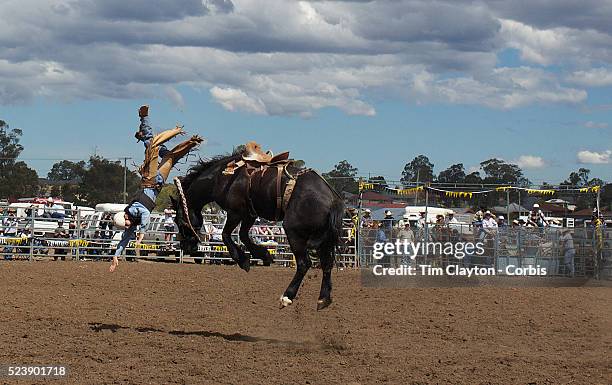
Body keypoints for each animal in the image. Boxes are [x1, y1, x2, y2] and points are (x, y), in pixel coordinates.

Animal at [172, 148, 344, 310]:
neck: (221, 177)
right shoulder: (250, 214)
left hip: (294, 232)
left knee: (304, 263)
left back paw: (287, 297)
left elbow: (226, 235)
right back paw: (323, 299)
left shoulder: (235, 212)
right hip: (324, 238)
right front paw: (264, 255)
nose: (185, 246)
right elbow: (243, 235)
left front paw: (243, 260)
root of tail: (332, 199)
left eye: (178, 220)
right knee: (327, 263)